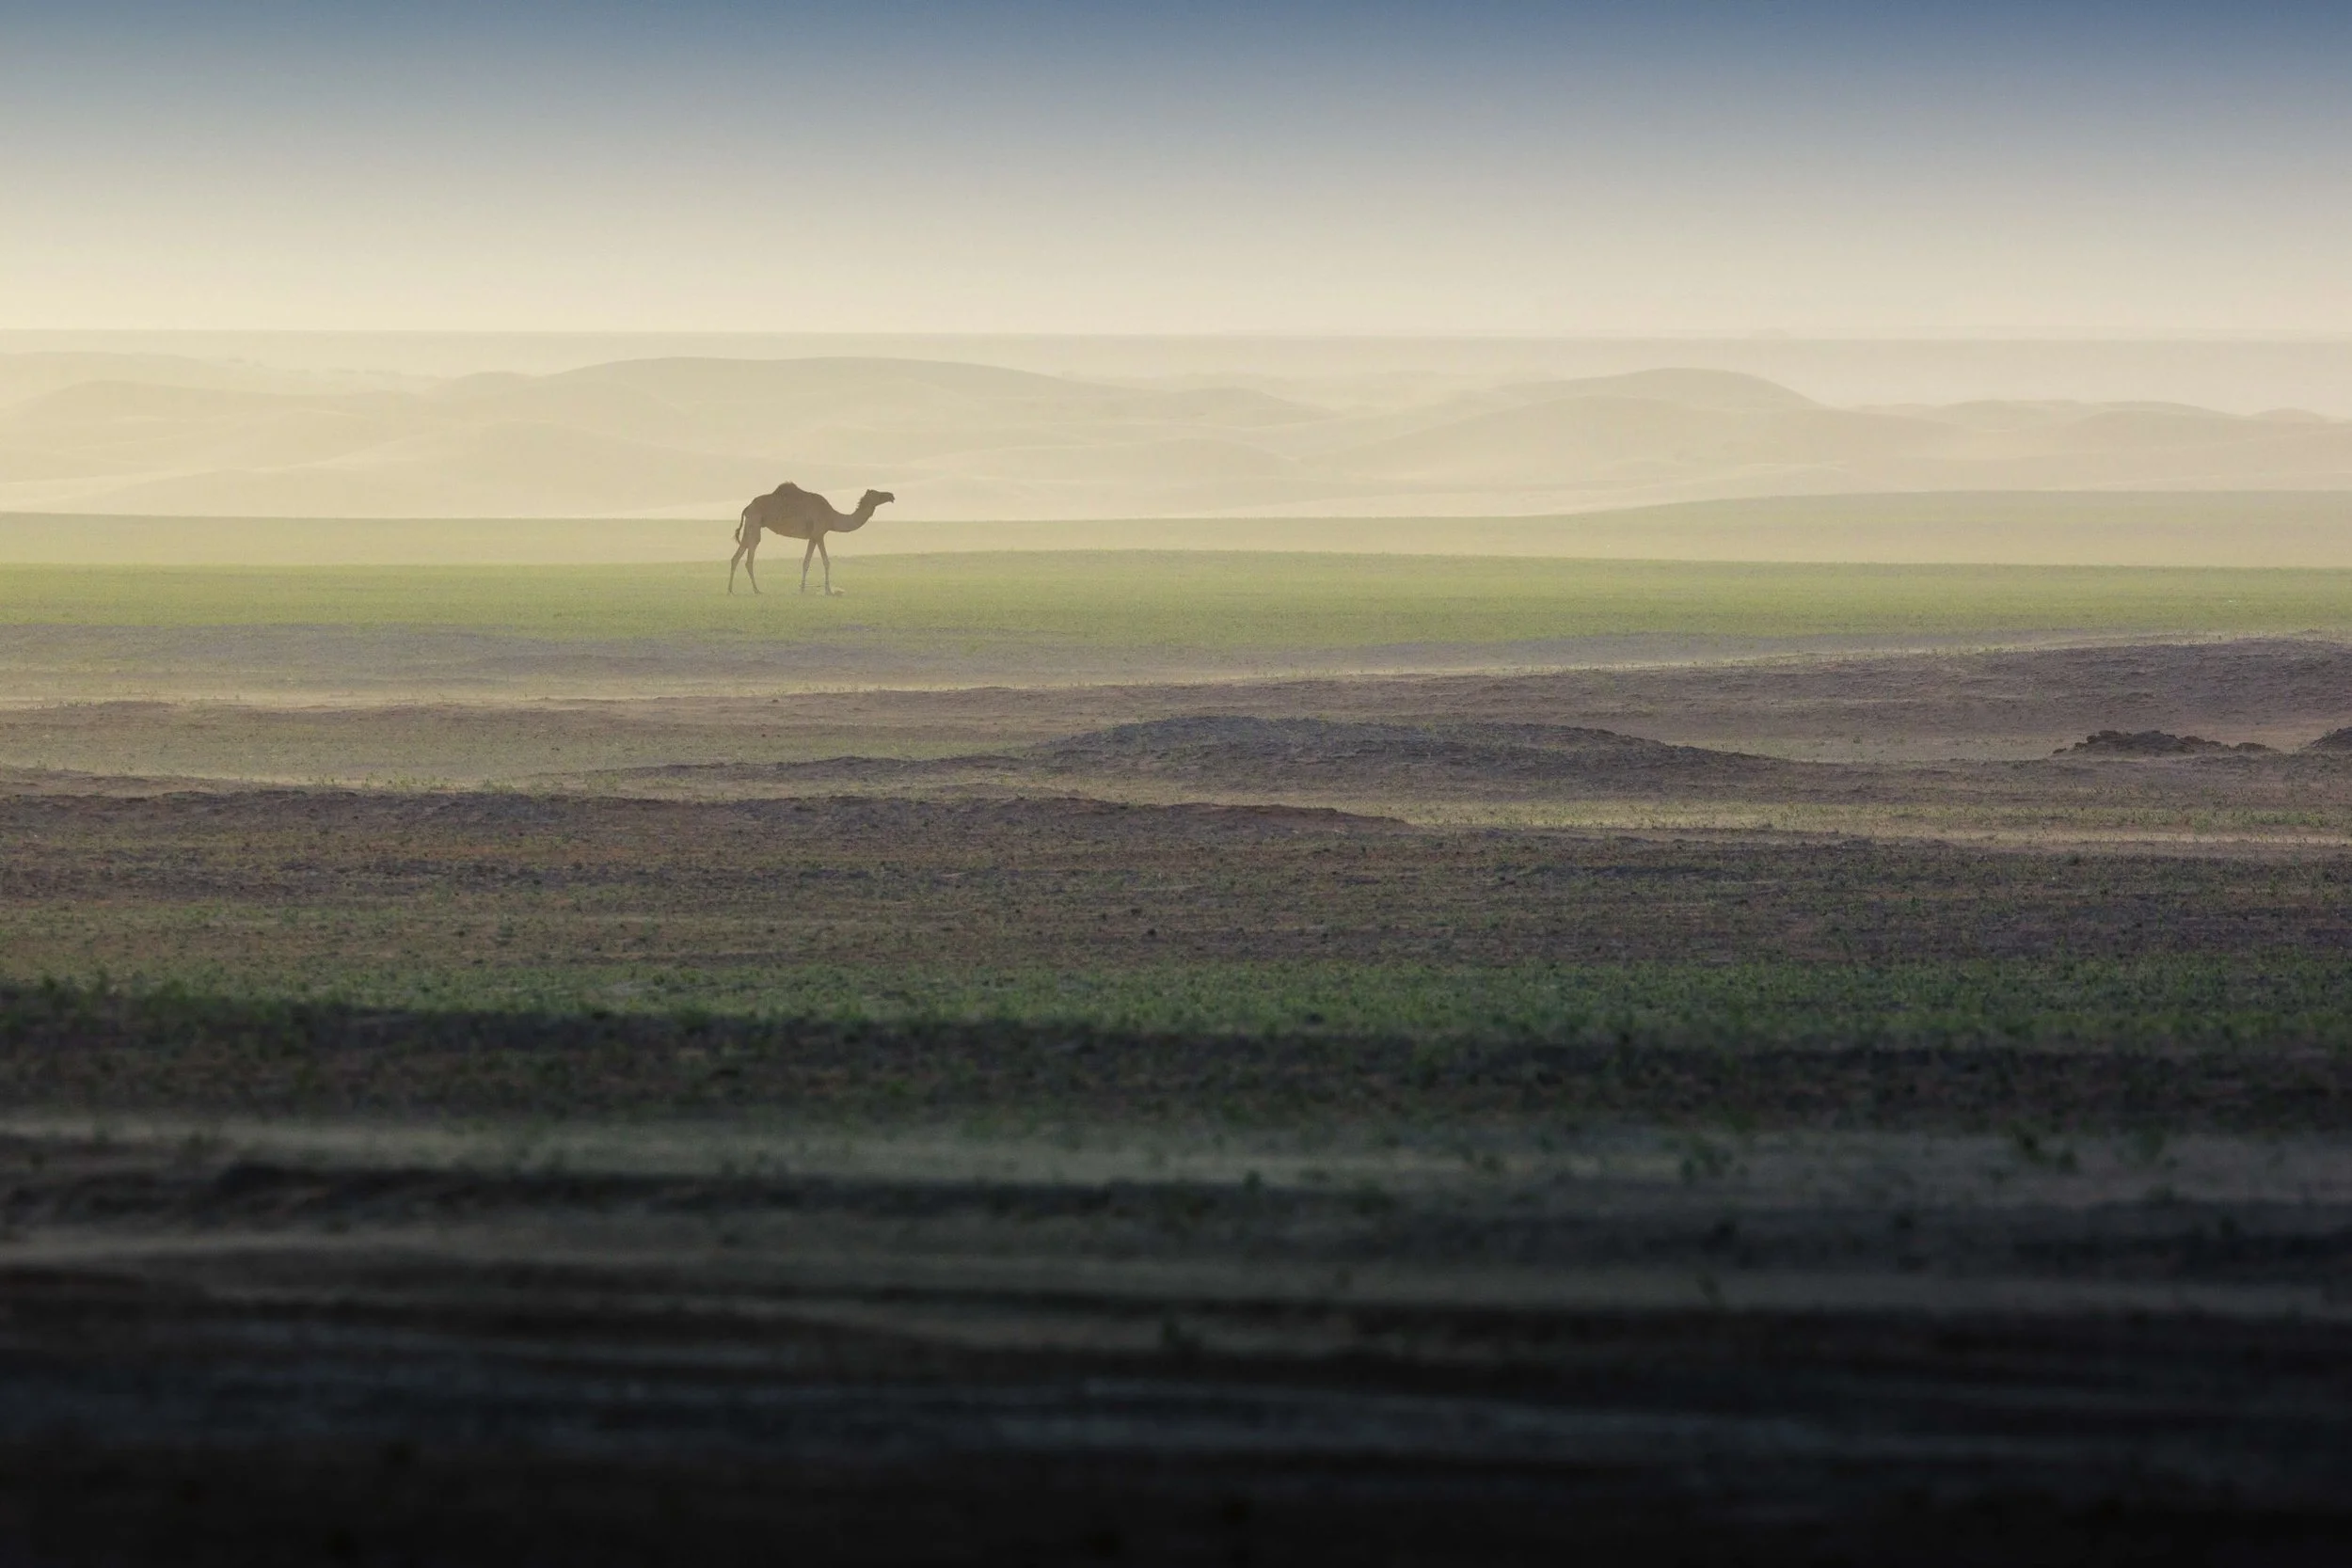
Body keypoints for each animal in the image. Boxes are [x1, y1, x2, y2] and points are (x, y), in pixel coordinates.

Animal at [729, 483, 895, 596]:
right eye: (879, 495)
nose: (891, 496)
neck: (832, 517)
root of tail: (747, 507)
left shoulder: (813, 537)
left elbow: (807, 562)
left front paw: (802, 588)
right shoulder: (819, 534)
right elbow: (825, 562)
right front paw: (828, 591)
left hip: (750, 524)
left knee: (737, 555)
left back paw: (731, 589)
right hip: (755, 522)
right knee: (750, 556)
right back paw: (756, 590)